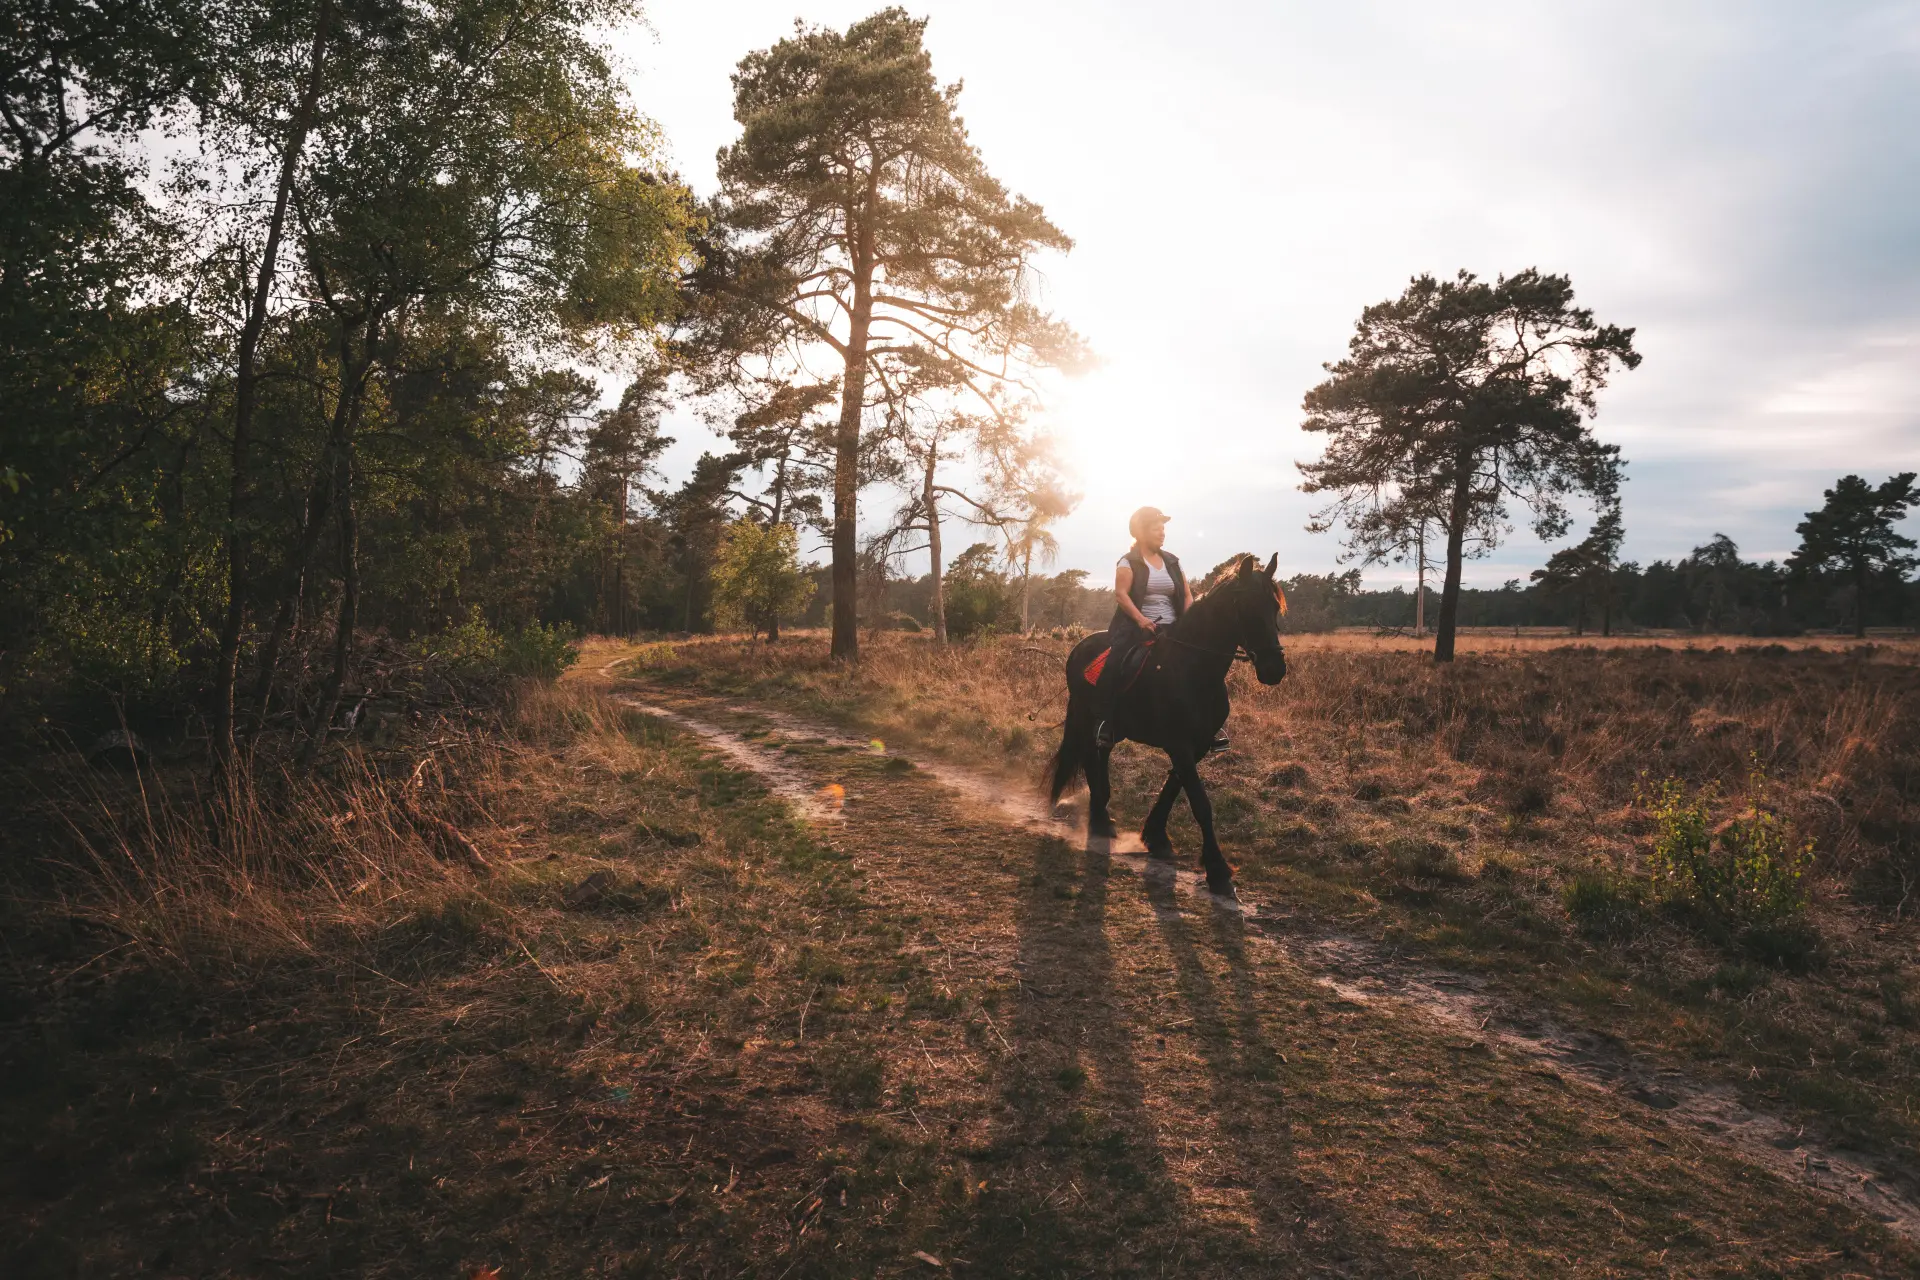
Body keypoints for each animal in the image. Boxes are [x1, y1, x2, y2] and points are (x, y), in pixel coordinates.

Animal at [1046, 552, 1289, 899]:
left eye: (1273, 606)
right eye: (1245, 606)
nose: (1274, 669)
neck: (1192, 667)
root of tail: (1081, 646)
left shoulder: (1196, 745)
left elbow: (1173, 787)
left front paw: (1155, 836)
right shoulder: (1179, 744)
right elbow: (1200, 802)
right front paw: (1217, 870)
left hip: (1109, 727)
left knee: (1099, 759)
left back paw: (1101, 818)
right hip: (1085, 716)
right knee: (1092, 760)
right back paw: (1100, 819)